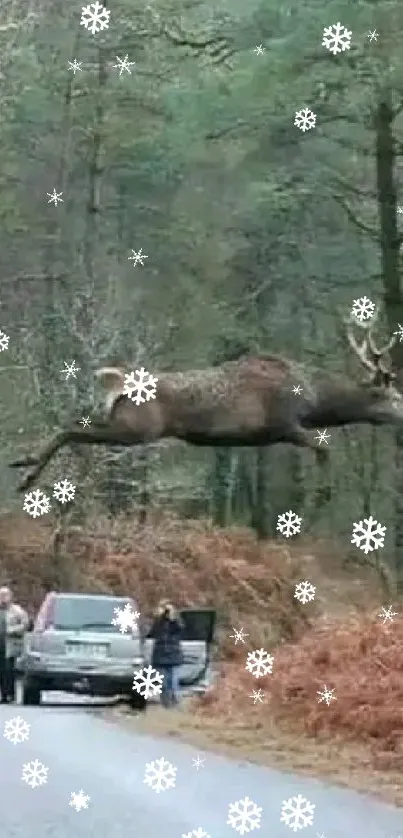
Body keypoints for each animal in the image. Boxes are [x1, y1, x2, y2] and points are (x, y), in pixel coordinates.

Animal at [7, 310, 402, 492]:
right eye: (394, 397)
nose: (402, 415)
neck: (314, 398)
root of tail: (116, 380)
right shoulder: (284, 423)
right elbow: (324, 449)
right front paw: (323, 494)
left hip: (118, 421)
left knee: (73, 424)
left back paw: (24, 467)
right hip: (137, 429)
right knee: (70, 430)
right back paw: (26, 472)